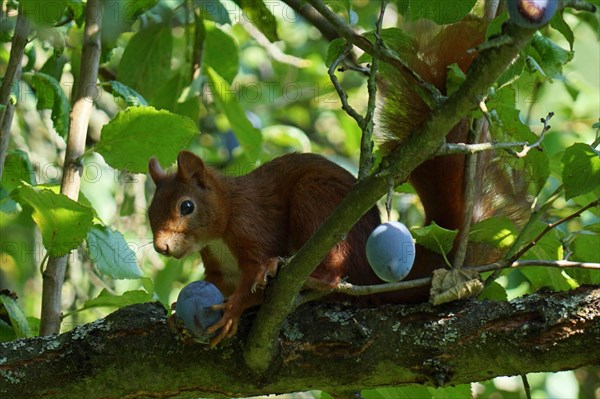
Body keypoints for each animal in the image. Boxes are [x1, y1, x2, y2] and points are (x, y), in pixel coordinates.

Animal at [148, 17, 528, 346]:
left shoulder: (252, 224)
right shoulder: (218, 268)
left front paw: (235, 308)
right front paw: (176, 314)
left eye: (186, 206)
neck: (221, 223)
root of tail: (370, 274)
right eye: (151, 212)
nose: (162, 248)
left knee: (333, 276)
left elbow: (254, 267)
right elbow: (212, 283)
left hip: (315, 201)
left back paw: (303, 278)